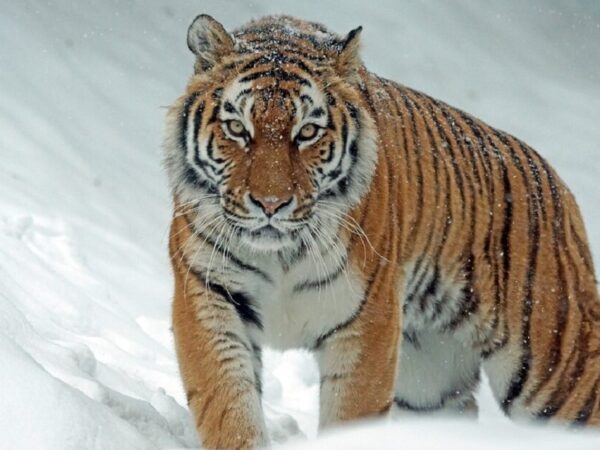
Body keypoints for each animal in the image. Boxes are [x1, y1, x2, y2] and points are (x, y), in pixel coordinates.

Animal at [163, 12, 600, 448]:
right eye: (237, 128)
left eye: (307, 133)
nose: (270, 204)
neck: (281, 255)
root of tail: (560, 188)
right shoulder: (210, 294)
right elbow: (228, 404)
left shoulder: (366, 321)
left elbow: (352, 414)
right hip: (429, 382)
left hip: (556, 370)